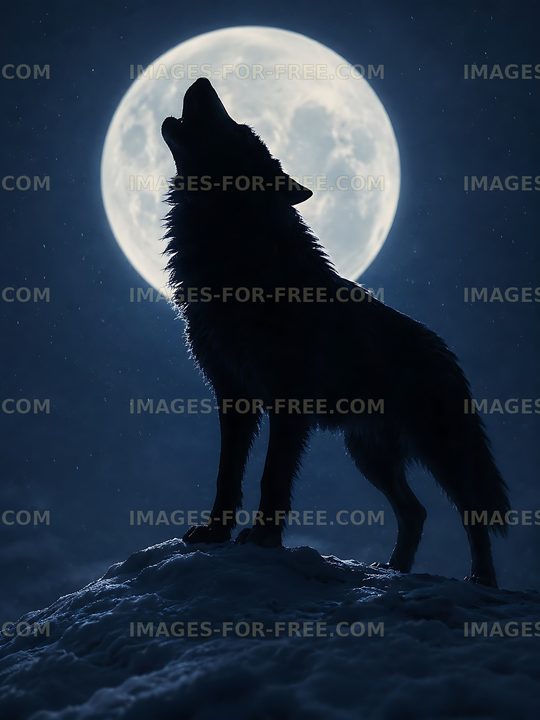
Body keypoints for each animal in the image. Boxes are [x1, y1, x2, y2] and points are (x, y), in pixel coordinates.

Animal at [161, 78, 509, 586]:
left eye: (240, 131)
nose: (202, 81)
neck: (236, 257)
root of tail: (445, 351)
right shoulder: (233, 396)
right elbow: (227, 476)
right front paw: (215, 532)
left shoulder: (286, 400)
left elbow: (271, 477)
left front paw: (263, 538)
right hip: (367, 454)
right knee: (416, 512)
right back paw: (391, 572)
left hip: (436, 449)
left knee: (470, 511)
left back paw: (480, 580)